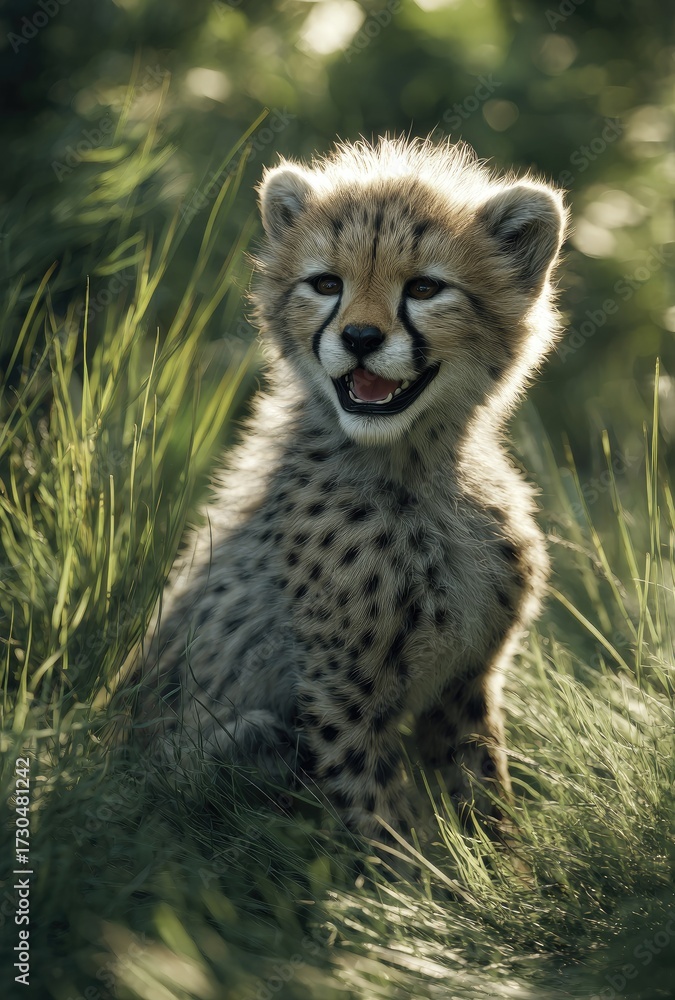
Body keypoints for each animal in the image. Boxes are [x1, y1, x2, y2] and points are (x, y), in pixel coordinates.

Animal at [141, 136, 567, 844]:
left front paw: (508, 870)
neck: (420, 469)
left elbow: (485, 802)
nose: (360, 338)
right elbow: (380, 823)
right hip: (248, 737)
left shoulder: (466, 684)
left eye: (424, 287)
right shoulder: (343, 701)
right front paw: (411, 876)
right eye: (326, 284)